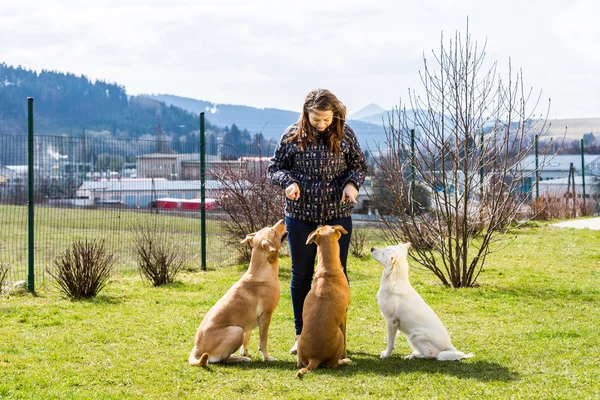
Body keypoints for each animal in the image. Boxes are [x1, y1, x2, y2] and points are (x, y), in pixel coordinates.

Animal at [190, 220, 288, 368]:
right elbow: (263, 342)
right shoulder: (265, 316)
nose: (283, 220)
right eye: (273, 230)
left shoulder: (250, 320)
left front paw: (245, 352)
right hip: (236, 331)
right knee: (220, 360)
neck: (261, 271)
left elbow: (247, 338)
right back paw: (239, 359)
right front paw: (267, 358)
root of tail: (196, 350)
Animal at [296, 225, 352, 378]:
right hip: (338, 338)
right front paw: (345, 355)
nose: (317, 225)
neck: (328, 269)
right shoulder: (344, 315)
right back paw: (345, 361)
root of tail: (314, 358)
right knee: (334, 364)